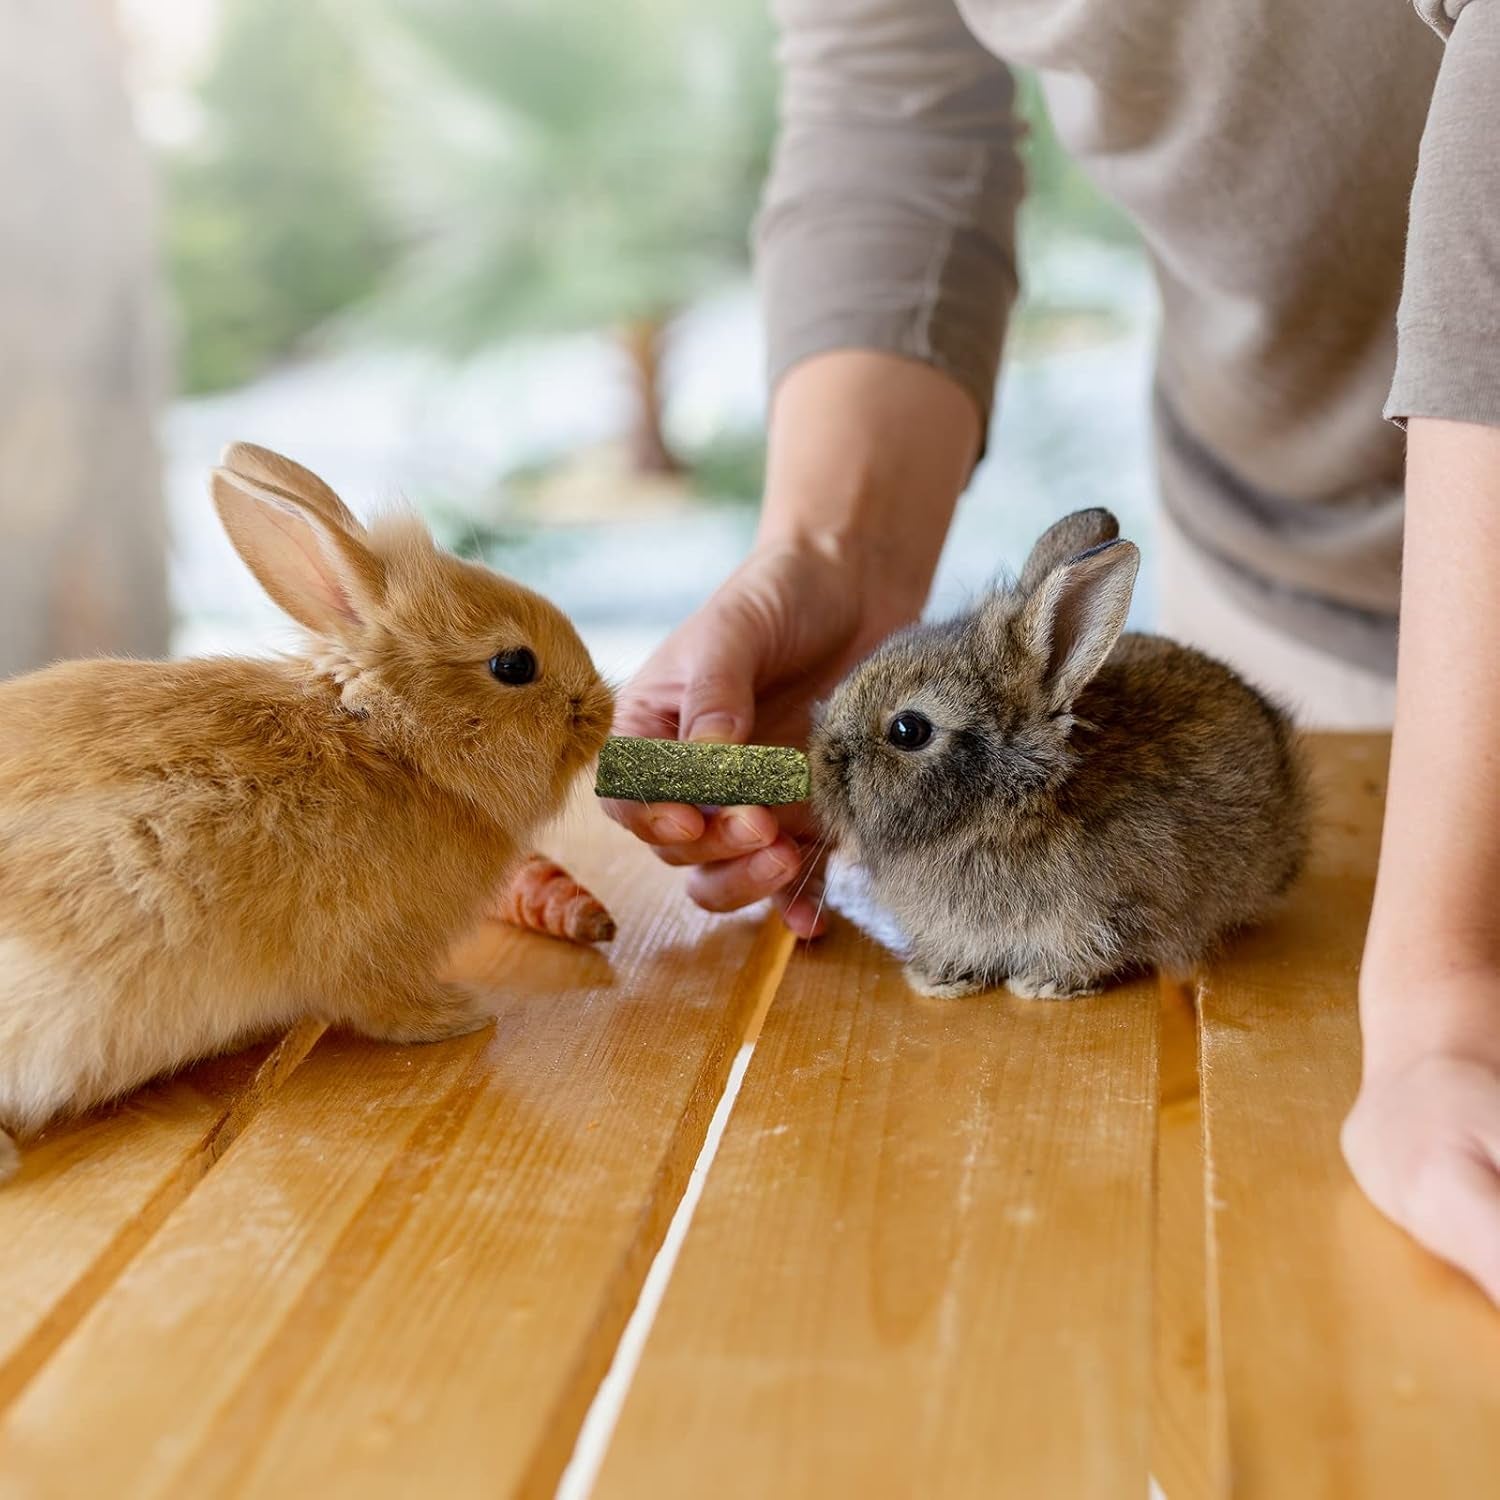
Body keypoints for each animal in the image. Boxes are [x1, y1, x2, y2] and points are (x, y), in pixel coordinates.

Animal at [0, 443, 615, 1182]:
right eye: (514, 664)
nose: (604, 709)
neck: (393, 745)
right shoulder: (369, 952)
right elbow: (384, 1007)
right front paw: (460, 1014)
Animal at [808, 508, 1309, 1001]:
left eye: (908, 730)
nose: (820, 765)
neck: (1013, 803)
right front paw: (938, 978)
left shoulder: (1111, 914)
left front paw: (1041, 985)